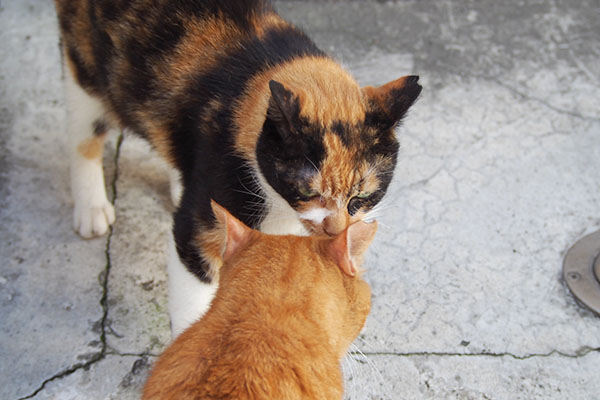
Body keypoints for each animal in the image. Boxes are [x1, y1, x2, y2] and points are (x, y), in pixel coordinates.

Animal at [55, 0, 422, 336]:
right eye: (306, 189)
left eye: (362, 196)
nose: (334, 228)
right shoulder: (203, 222)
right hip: (85, 70)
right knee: (83, 133)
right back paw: (92, 208)